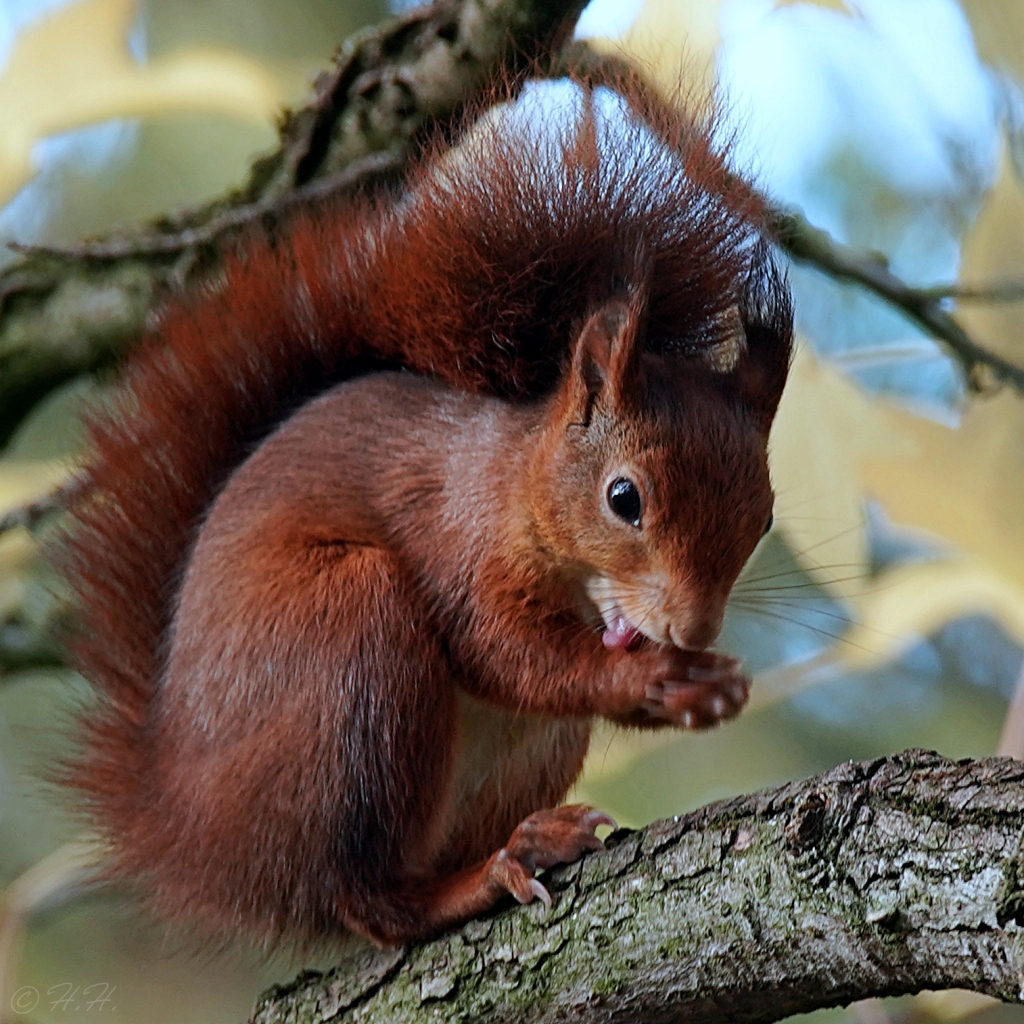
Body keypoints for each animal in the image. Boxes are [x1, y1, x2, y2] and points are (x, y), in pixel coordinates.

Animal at [58, 74, 790, 950]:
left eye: (765, 517)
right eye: (624, 498)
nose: (693, 630)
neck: (517, 487)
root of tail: (189, 831)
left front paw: (705, 684)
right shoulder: (453, 538)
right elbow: (504, 650)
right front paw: (653, 676)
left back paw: (528, 839)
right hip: (350, 655)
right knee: (370, 900)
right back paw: (484, 875)